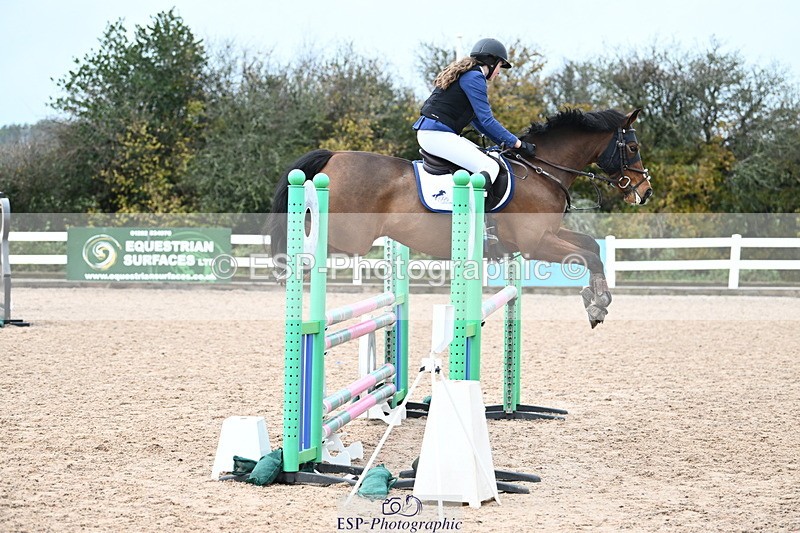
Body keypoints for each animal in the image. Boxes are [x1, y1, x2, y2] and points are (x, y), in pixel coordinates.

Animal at [269, 108, 653, 327]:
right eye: (633, 147)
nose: (645, 191)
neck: (543, 171)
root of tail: (334, 155)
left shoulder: (549, 235)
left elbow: (591, 247)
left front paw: (594, 300)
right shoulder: (536, 244)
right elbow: (589, 255)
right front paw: (598, 305)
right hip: (348, 238)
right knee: (302, 246)